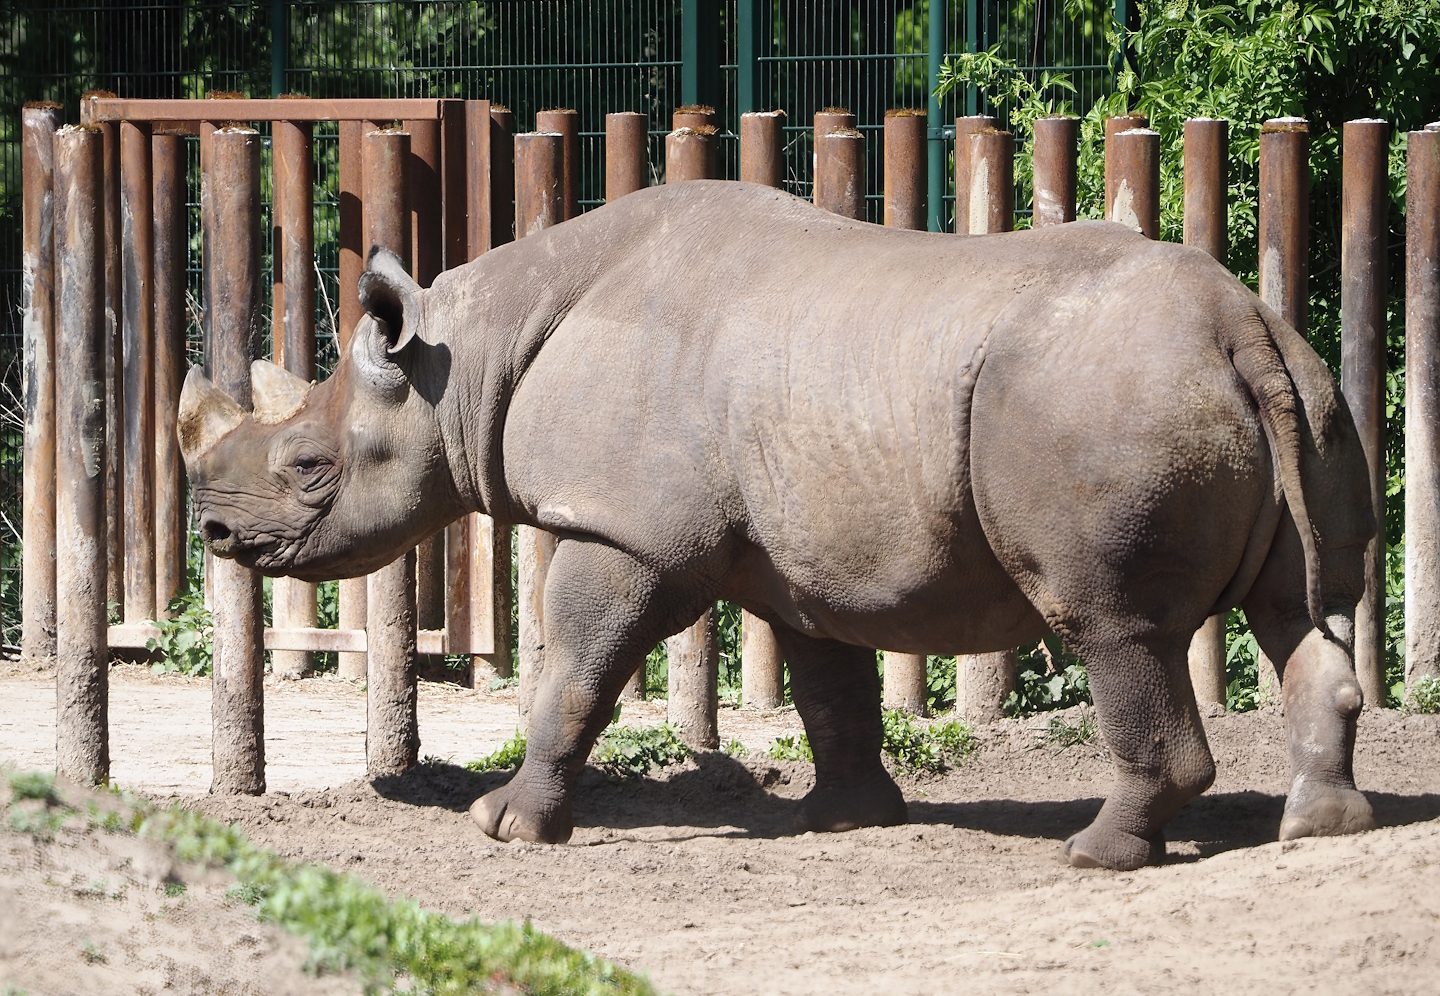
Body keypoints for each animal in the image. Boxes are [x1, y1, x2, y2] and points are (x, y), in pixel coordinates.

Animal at [179, 180, 1377, 870]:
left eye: (308, 469)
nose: (218, 539)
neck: (465, 359)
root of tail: (1236, 320)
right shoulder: (800, 556)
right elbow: (829, 683)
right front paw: (845, 821)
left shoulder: (622, 531)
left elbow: (573, 669)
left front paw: (506, 826)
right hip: (1301, 386)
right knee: (1303, 611)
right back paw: (1320, 829)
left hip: (1101, 401)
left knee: (1112, 623)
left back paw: (1099, 853)